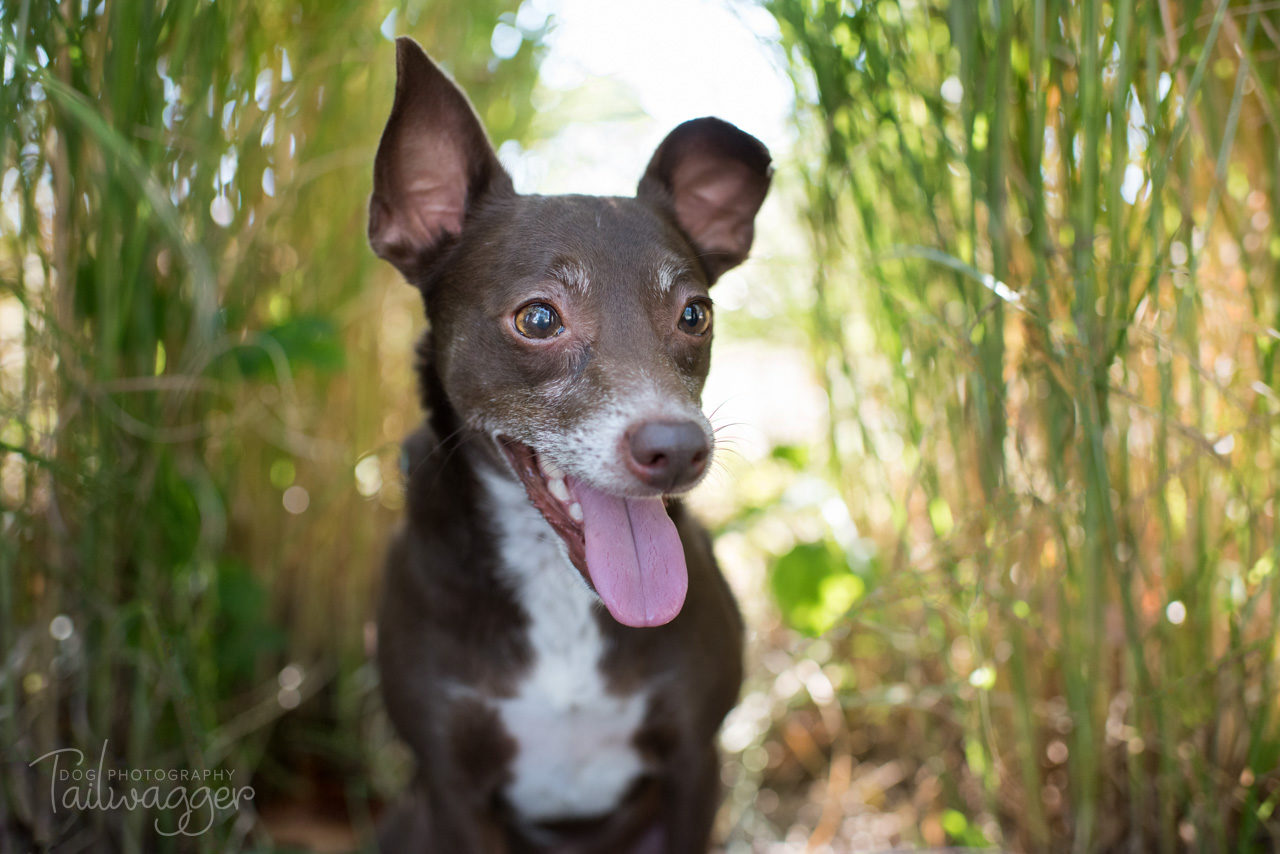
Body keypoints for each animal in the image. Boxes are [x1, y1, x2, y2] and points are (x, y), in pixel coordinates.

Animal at [366, 36, 773, 850]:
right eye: (538, 319)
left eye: (695, 314)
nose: (679, 448)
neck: (559, 589)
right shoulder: (453, 788)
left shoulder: (695, 763)